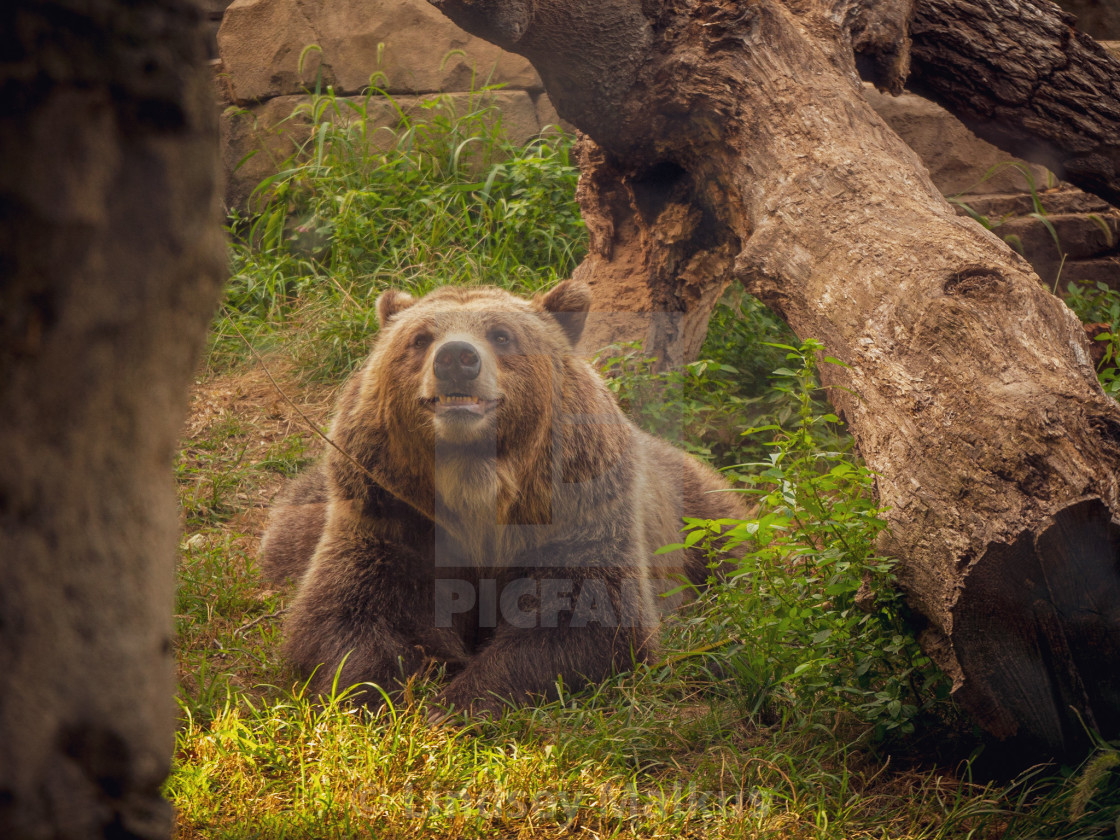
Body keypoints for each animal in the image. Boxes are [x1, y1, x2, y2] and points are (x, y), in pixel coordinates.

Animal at [258, 283, 748, 716]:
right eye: (420, 338)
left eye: (501, 334)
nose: (457, 358)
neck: (477, 487)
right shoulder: (390, 519)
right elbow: (349, 614)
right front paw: (379, 696)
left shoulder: (578, 518)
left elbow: (583, 618)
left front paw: (455, 704)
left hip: (697, 513)